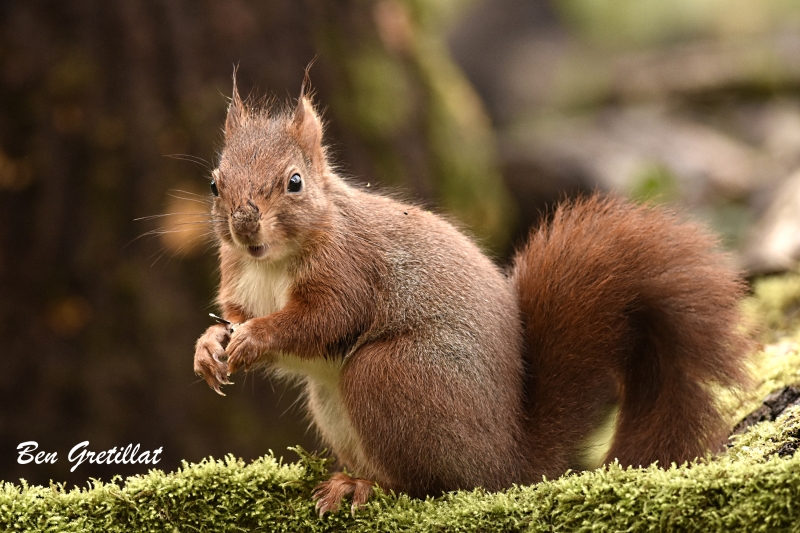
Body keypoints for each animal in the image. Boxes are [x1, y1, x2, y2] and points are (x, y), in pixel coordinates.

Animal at [191, 75, 752, 516]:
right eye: (215, 184)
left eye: (295, 182)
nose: (244, 226)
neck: (270, 262)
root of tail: (506, 460)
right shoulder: (238, 281)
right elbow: (234, 315)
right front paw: (209, 346)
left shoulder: (350, 271)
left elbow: (324, 319)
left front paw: (255, 338)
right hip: (333, 400)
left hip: (391, 374)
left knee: (425, 485)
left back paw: (365, 485)